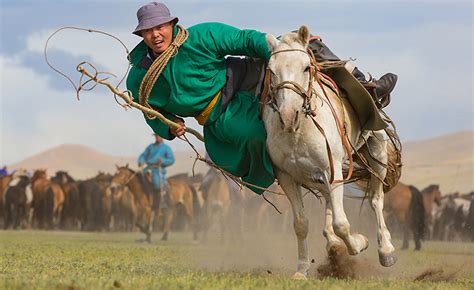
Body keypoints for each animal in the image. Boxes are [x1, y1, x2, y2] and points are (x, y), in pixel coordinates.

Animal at [264, 26, 398, 278]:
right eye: (271, 70)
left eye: (306, 67)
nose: (288, 116)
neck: (300, 130)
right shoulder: (287, 177)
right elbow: (301, 224)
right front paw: (301, 270)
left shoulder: (332, 171)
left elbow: (342, 224)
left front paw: (359, 242)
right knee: (329, 200)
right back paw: (333, 244)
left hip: (377, 155)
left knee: (376, 200)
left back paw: (386, 250)